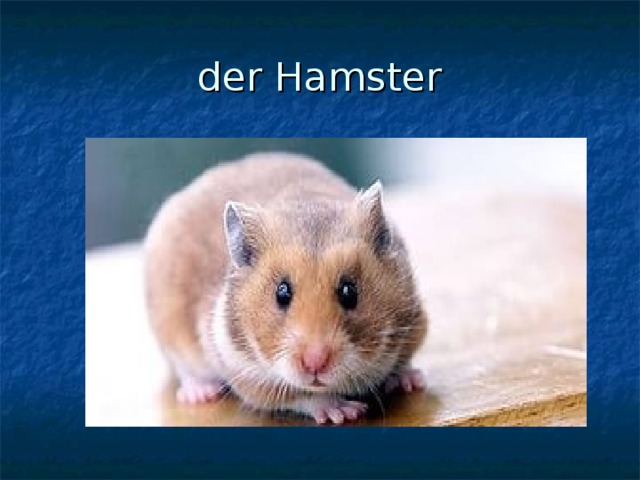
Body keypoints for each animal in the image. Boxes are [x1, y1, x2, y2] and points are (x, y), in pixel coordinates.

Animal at [144, 152, 428, 425]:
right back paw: (201, 393)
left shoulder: (415, 324)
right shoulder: (245, 373)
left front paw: (412, 381)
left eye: (349, 292)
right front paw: (344, 412)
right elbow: (301, 396)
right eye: (282, 293)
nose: (315, 363)